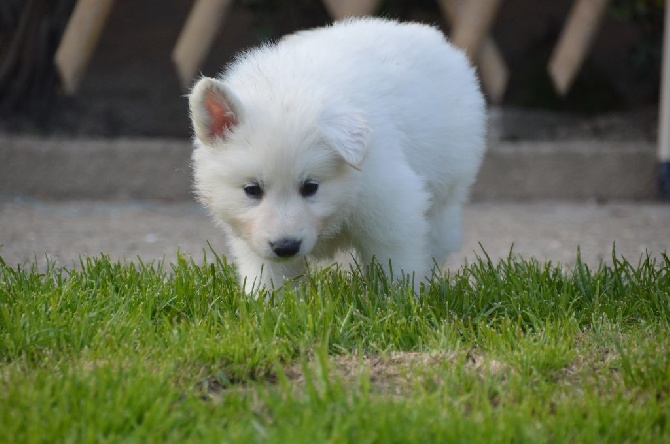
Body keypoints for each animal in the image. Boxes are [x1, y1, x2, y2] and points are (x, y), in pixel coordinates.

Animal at [189, 18, 488, 294]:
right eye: (252, 190)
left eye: (311, 187)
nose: (286, 246)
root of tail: (433, 36)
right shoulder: (253, 238)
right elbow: (270, 277)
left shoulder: (391, 207)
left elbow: (397, 261)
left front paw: (399, 300)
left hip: (447, 189)